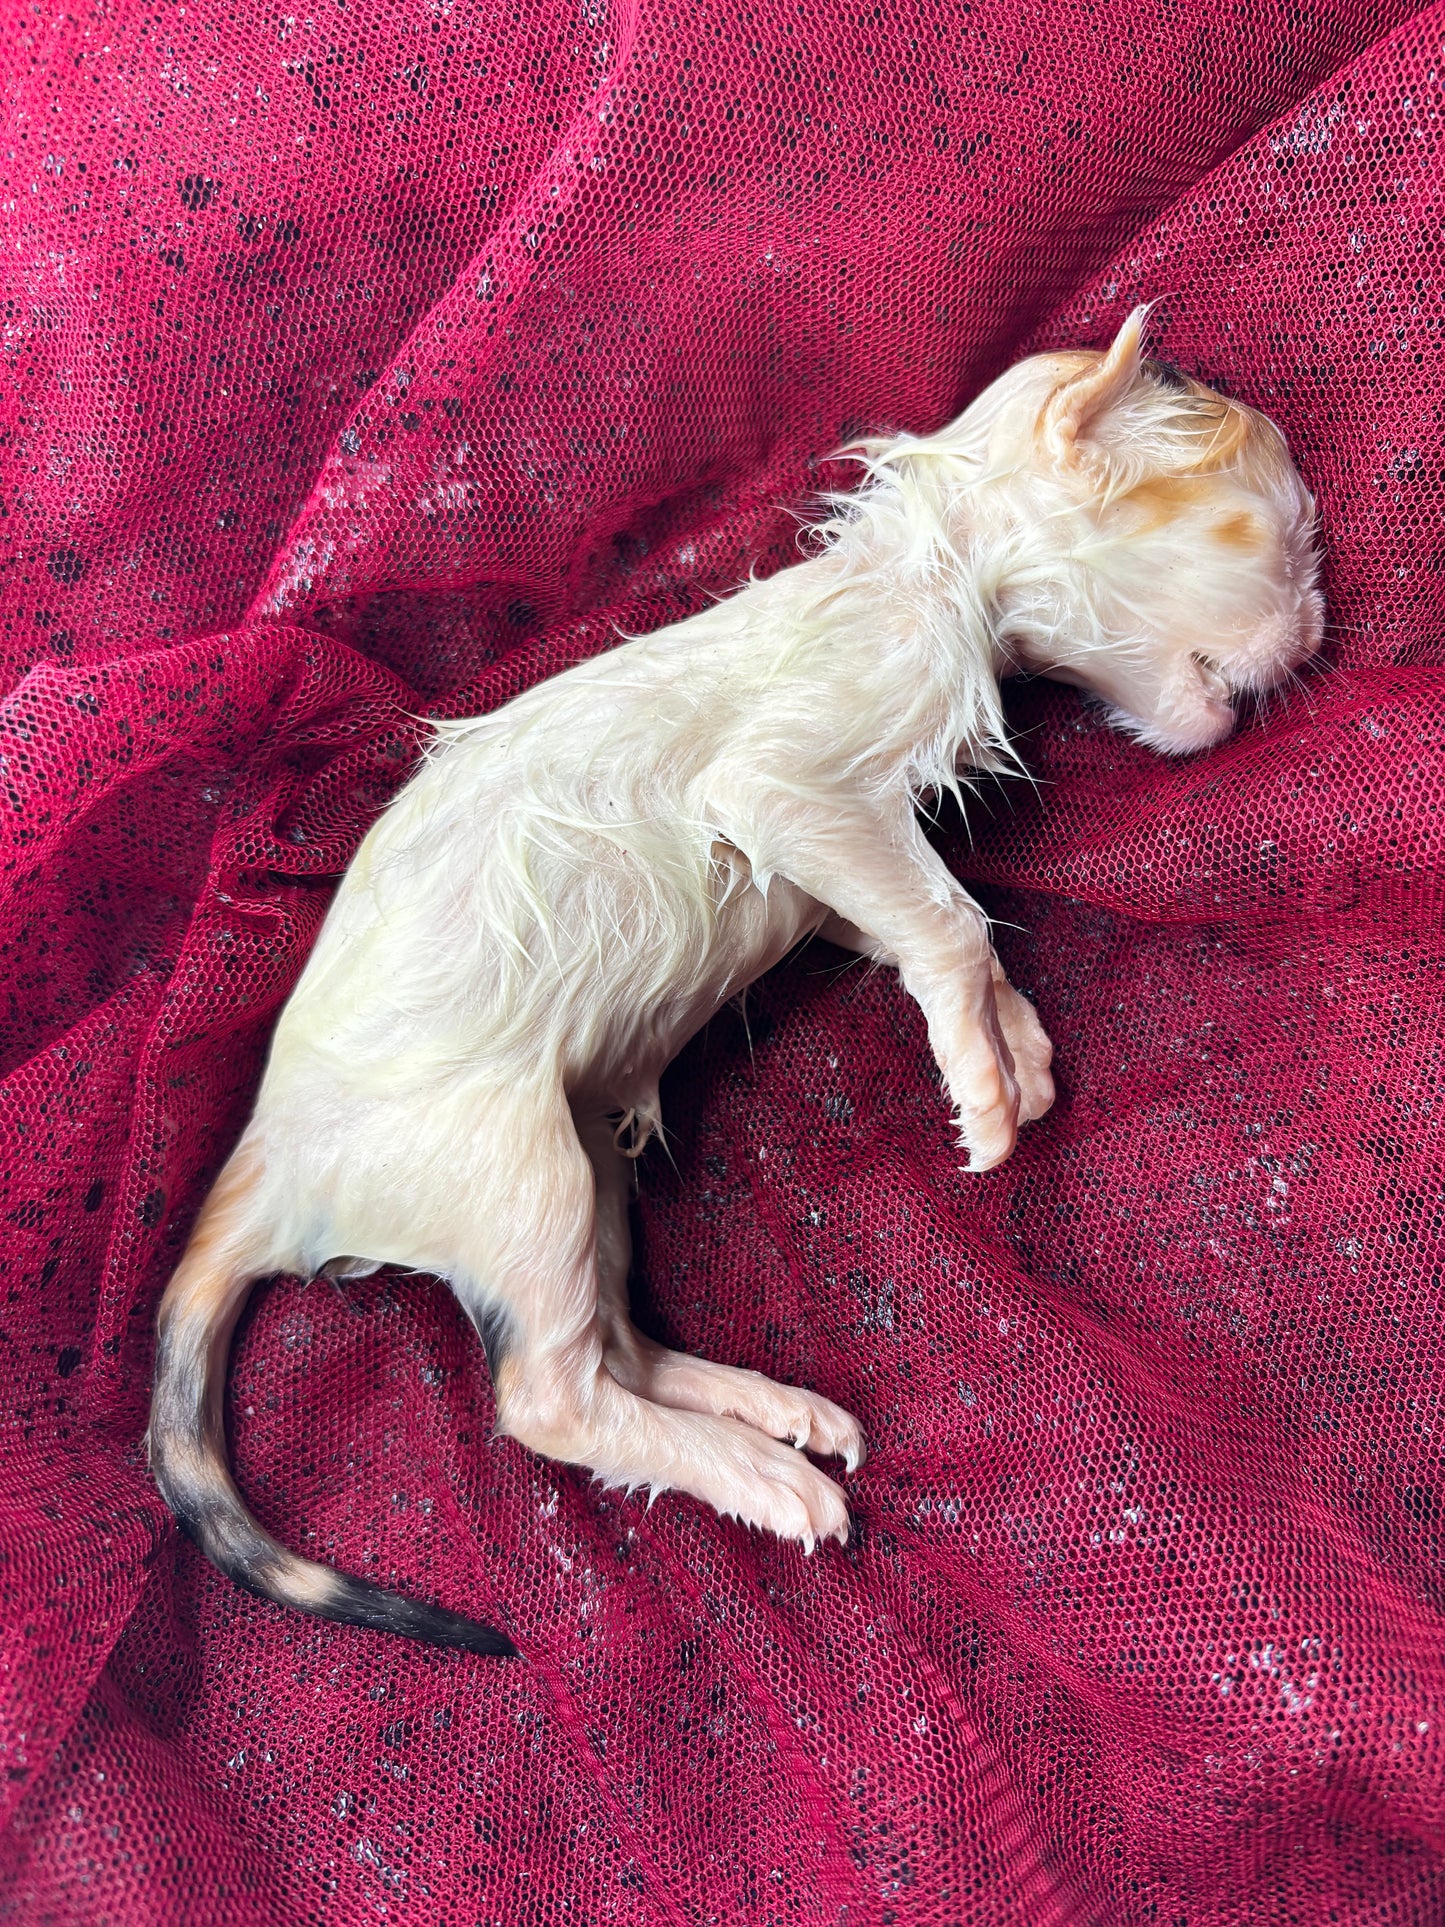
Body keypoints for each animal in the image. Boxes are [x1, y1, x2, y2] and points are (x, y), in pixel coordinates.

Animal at [144, 316, 1325, 1657]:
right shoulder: (783, 788)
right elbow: (947, 921)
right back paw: (769, 1481)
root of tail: (262, 1164)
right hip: (515, 1174)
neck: (925, 569)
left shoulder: (831, 862)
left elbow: (923, 922)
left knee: (613, 1347)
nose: (1317, 630)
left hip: (584, 1165)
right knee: (546, 1397)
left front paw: (1012, 1043)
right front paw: (981, 1091)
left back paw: (764, 1409)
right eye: (1272, 532)